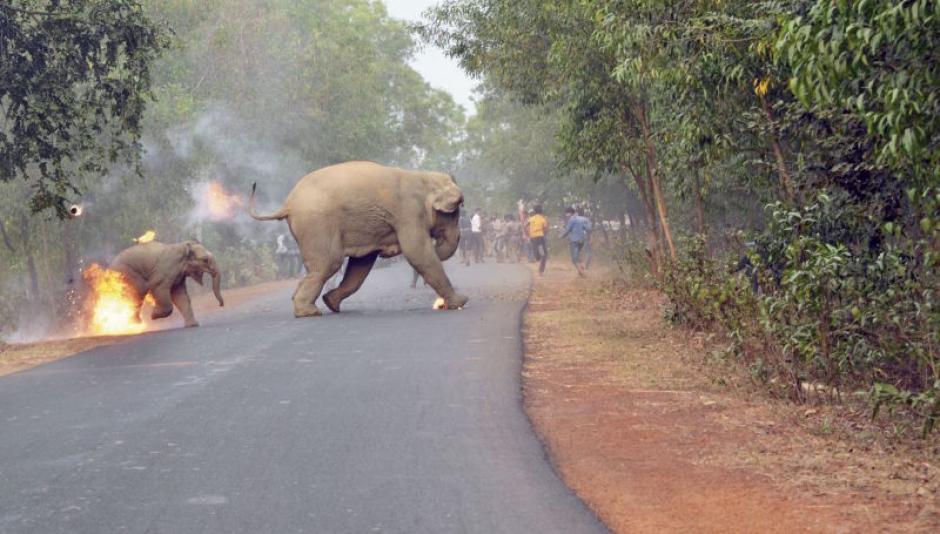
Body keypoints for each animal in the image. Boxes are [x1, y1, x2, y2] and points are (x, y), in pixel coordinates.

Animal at [248, 161, 468, 317]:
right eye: (455, 214)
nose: (438, 244)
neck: (423, 177)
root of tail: (288, 204)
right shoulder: (408, 213)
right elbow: (417, 252)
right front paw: (460, 302)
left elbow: (362, 263)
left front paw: (331, 301)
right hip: (316, 223)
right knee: (328, 264)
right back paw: (308, 312)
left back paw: (323, 306)